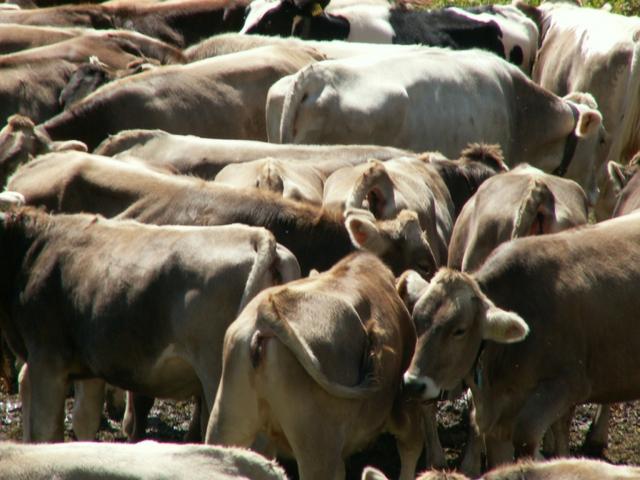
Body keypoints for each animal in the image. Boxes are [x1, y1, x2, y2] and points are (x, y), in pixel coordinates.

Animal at [0, 208, 300, 440]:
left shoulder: (46, 360)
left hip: (220, 380)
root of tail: (255, 236)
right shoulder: (88, 364)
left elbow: (44, 432)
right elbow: (83, 419)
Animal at [400, 212, 640, 466]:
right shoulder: (496, 420)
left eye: (459, 330)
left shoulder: (566, 385)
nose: (414, 384)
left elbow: (526, 437)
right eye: (416, 320)